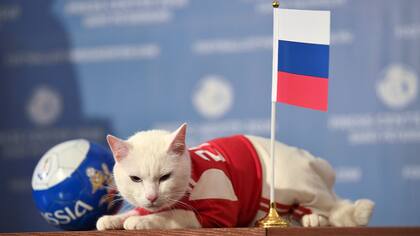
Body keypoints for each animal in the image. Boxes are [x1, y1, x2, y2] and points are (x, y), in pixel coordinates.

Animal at [96, 122, 374, 230]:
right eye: (135, 179)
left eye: (165, 177)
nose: (152, 196)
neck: (193, 176)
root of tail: (306, 156)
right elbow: (138, 211)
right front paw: (113, 219)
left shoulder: (217, 216)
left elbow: (173, 216)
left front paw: (141, 221)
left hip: (296, 187)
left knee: (335, 208)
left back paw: (315, 219)